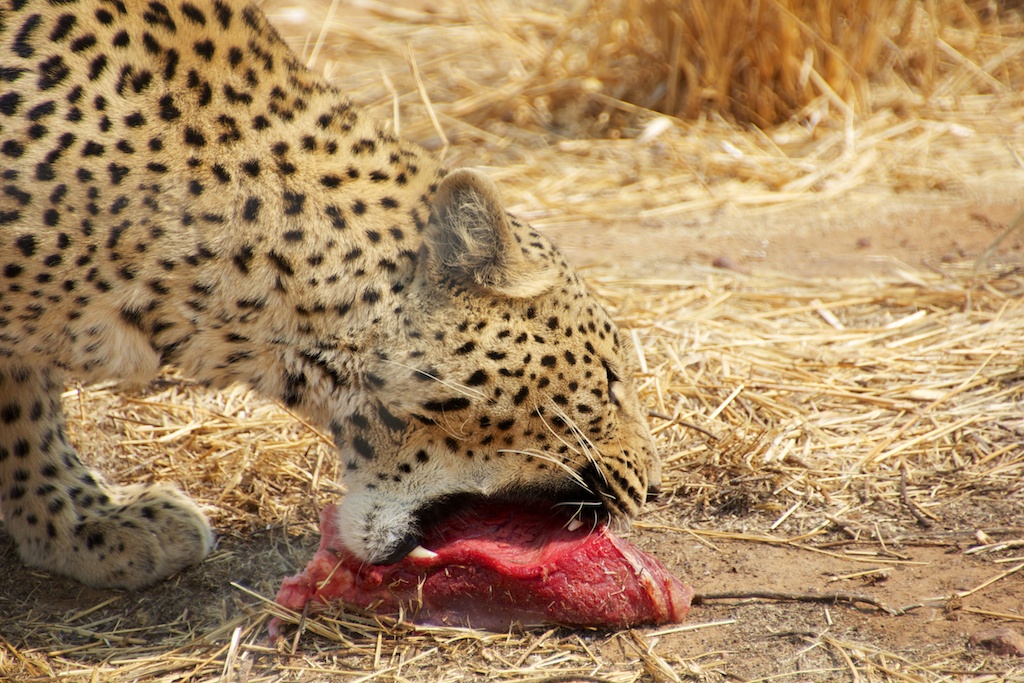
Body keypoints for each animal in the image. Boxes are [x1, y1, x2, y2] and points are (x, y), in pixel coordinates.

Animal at [0, 0, 663, 589]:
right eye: (608, 380)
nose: (653, 488)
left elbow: (27, 412)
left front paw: (82, 527)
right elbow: (26, 414)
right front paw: (84, 522)